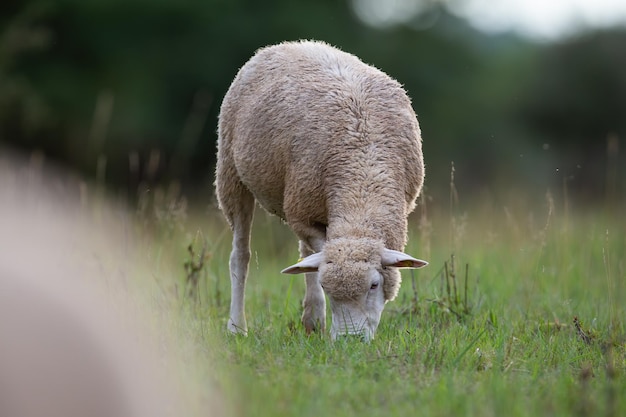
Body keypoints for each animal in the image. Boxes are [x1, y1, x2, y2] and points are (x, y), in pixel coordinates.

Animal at [214, 39, 424, 340]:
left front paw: (315, 318)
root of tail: (289, 44)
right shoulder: (301, 215)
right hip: (231, 174)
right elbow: (316, 260)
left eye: (374, 285)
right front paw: (318, 312)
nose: (350, 340)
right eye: (328, 287)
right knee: (240, 256)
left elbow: (312, 259)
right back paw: (237, 327)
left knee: (303, 255)